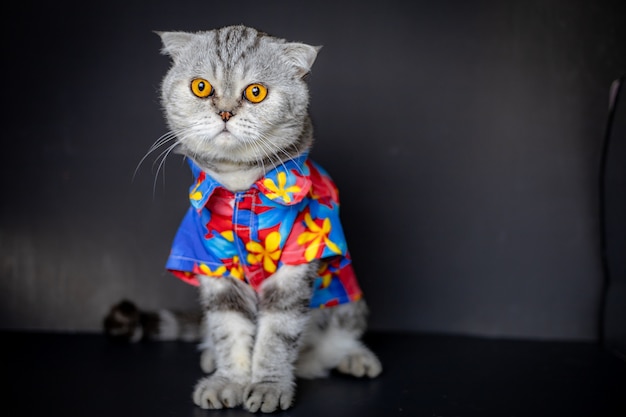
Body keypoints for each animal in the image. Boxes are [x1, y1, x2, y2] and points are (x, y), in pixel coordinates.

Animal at [154, 26, 382, 412]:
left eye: (255, 92)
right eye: (201, 87)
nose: (225, 112)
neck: (239, 187)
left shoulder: (296, 262)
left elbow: (276, 336)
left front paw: (268, 386)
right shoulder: (211, 263)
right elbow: (229, 331)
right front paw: (229, 380)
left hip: (349, 302)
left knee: (335, 342)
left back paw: (353, 357)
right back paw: (211, 357)